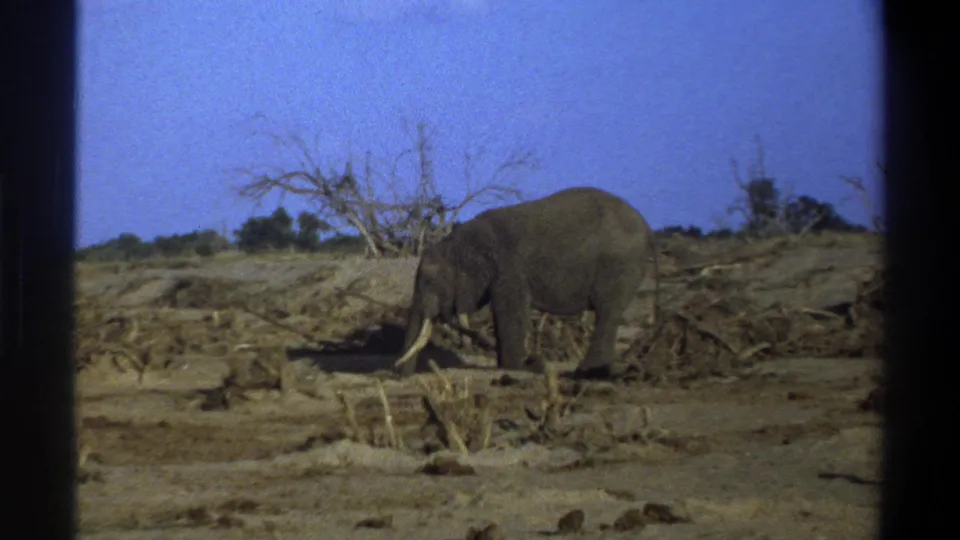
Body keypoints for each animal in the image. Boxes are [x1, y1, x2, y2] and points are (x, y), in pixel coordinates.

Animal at [395, 186, 660, 379]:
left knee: (607, 311)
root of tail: (648, 229)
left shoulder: (510, 269)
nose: (399, 375)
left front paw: (519, 367)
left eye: (431, 281)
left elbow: (510, 312)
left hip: (618, 264)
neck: (458, 240)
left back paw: (587, 373)